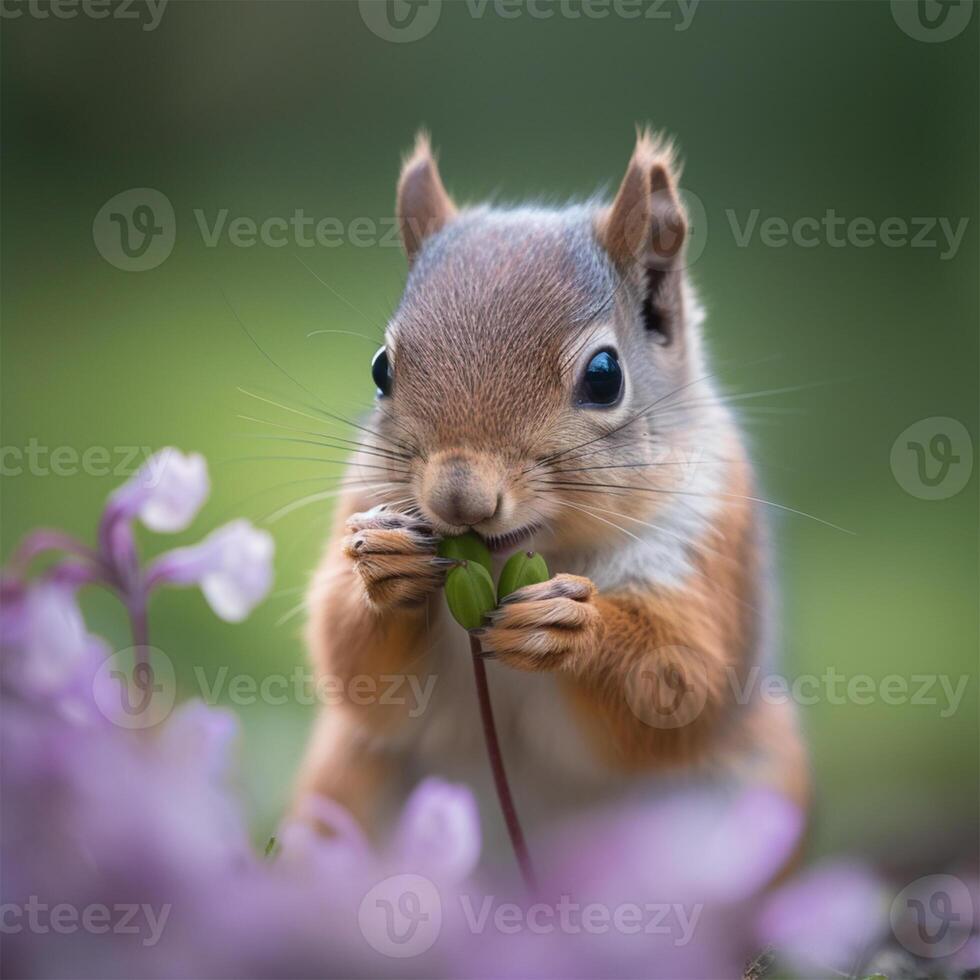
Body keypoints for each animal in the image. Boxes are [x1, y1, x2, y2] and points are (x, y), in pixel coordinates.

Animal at [294, 128, 808, 856]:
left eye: (605, 376)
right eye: (381, 369)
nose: (459, 497)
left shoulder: (711, 535)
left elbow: (684, 680)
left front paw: (568, 625)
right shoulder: (361, 498)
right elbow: (353, 664)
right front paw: (387, 565)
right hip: (346, 779)